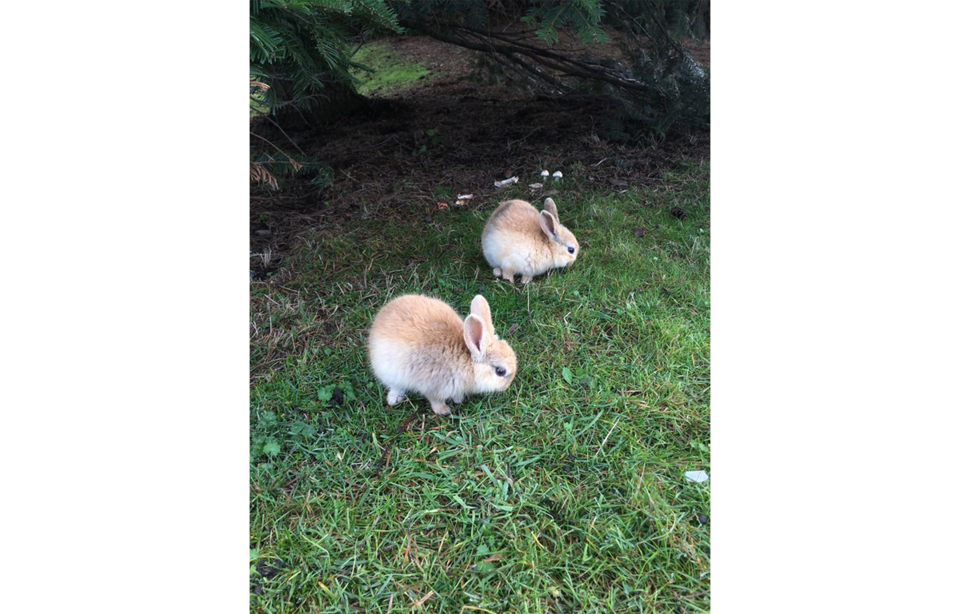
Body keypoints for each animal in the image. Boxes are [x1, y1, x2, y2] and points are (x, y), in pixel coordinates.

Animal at [368, 294, 516, 418]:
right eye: (500, 371)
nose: (506, 387)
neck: (468, 360)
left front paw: (458, 399)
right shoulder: (434, 388)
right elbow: (435, 401)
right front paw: (444, 410)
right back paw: (394, 399)